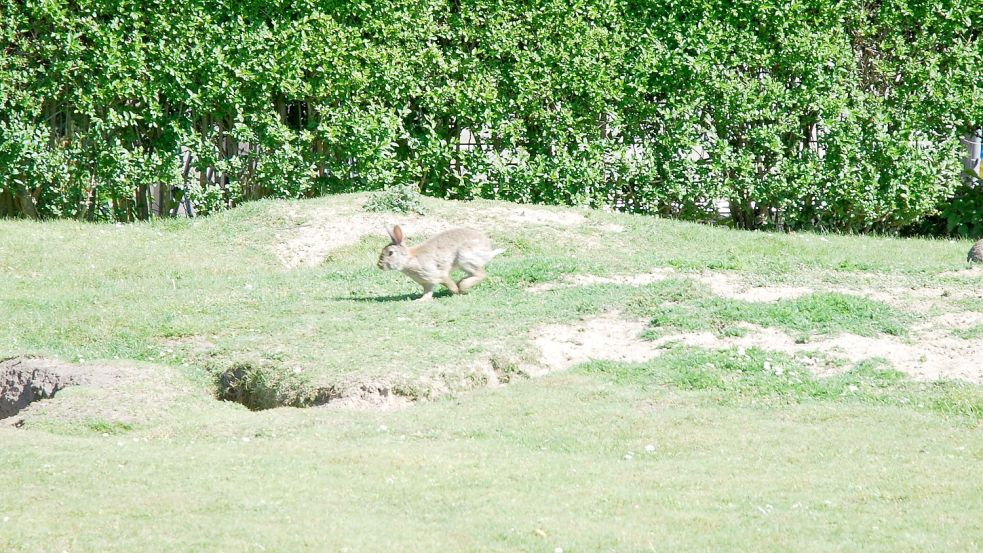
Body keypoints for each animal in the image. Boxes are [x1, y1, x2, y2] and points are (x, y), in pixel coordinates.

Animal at [372, 225, 504, 302]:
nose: (379, 265)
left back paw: (462, 286)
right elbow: (428, 292)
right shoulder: (427, 282)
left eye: (390, 253)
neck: (409, 259)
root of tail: (488, 249)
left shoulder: (438, 274)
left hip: (465, 258)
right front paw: (421, 300)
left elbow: (447, 282)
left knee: (481, 274)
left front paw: (455, 291)